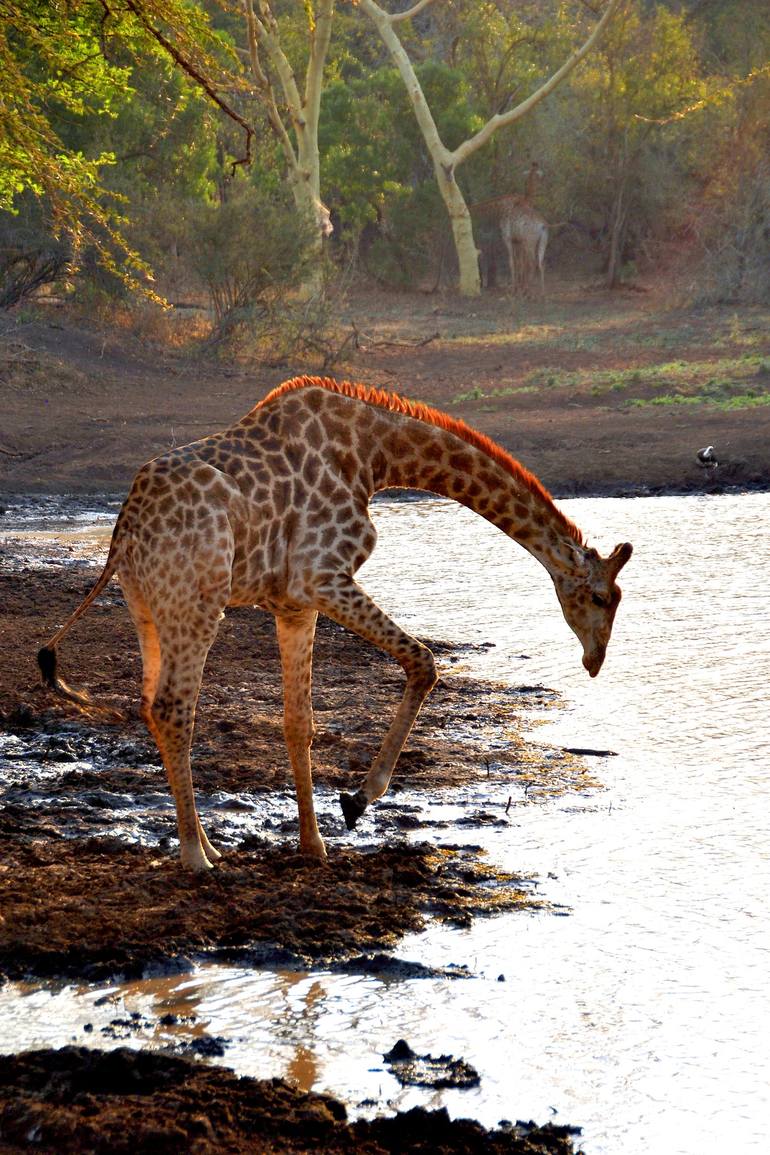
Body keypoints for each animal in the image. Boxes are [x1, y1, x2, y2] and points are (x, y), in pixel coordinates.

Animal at [36, 374, 632, 868]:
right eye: (602, 596)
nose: (595, 660)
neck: (373, 457)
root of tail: (125, 530)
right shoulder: (321, 578)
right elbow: (424, 661)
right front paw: (357, 801)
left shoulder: (294, 605)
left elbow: (299, 722)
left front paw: (313, 845)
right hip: (198, 603)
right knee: (173, 708)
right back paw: (194, 857)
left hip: (148, 607)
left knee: (149, 705)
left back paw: (209, 845)